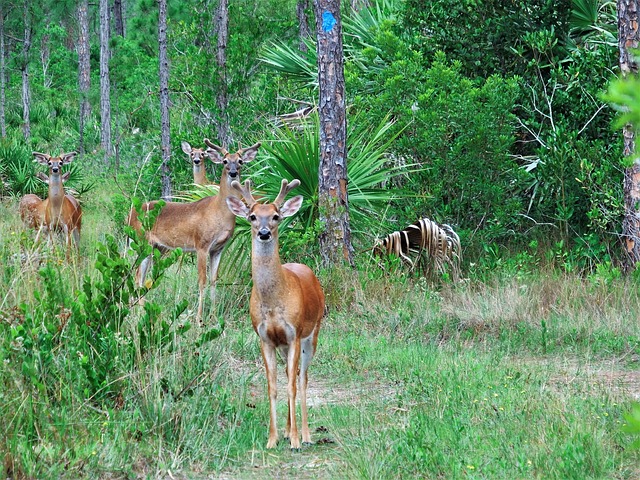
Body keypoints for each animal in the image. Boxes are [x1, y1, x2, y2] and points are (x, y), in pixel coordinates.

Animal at [127, 141, 260, 324]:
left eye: (240, 161)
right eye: (225, 161)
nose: (233, 172)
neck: (219, 212)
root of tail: (131, 213)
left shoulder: (218, 248)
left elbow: (213, 280)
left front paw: (213, 316)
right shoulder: (201, 245)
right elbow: (202, 281)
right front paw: (199, 319)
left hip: (156, 247)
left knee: (140, 276)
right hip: (142, 242)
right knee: (137, 275)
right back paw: (138, 314)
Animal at [226, 176, 324, 450]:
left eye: (276, 216)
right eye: (252, 216)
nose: (264, 233)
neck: (272, 303)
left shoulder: (294, 333)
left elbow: (291, 386)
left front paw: (295, 441)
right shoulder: (265, 338)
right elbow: (272, 386)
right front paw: (272, 438)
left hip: (312, 334)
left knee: (302, 379)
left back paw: (305, 435)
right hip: (284, 346)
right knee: (292, 374)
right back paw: (290, 430)